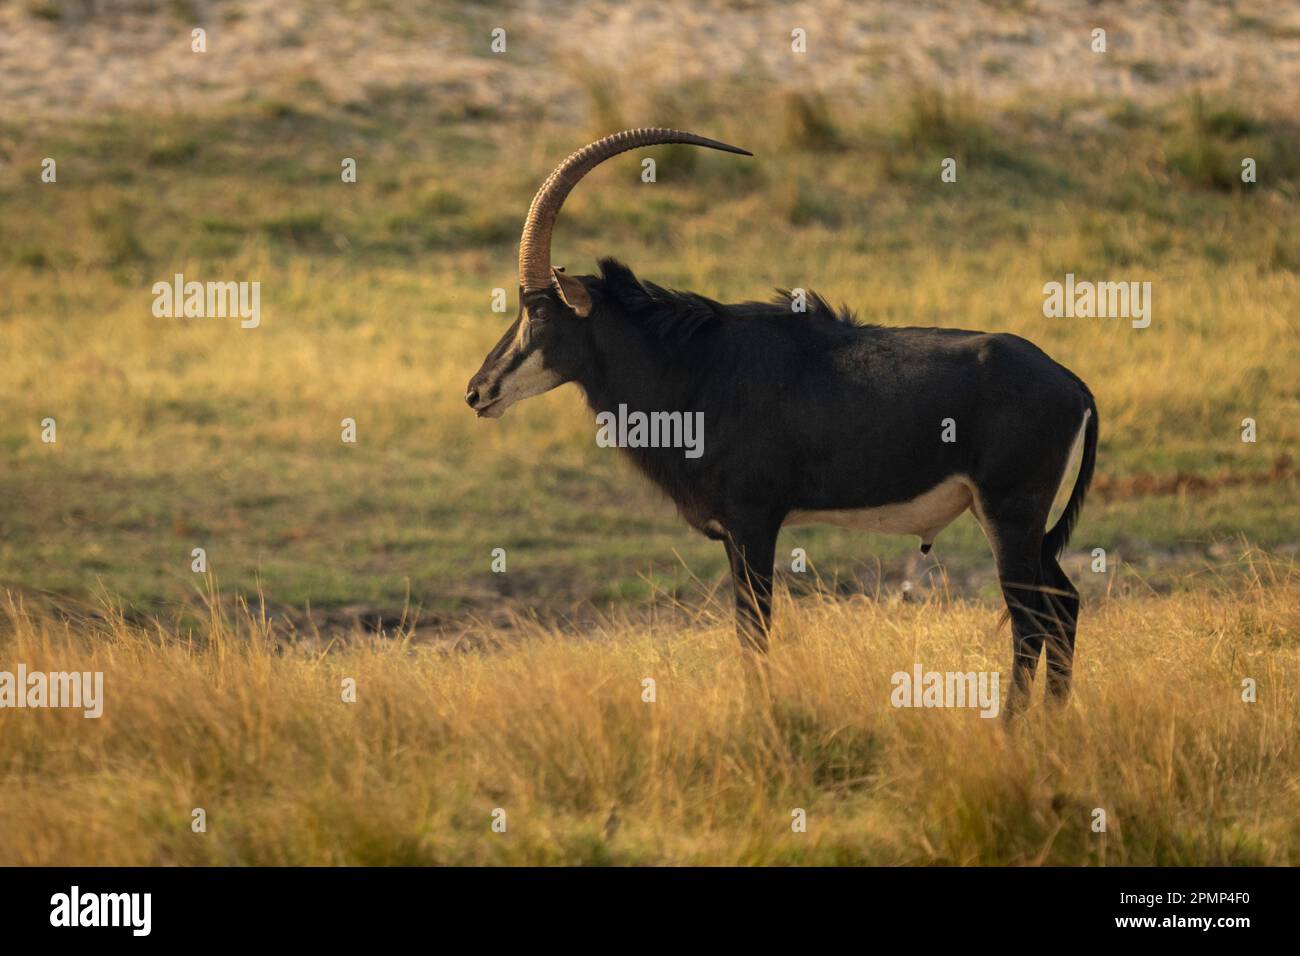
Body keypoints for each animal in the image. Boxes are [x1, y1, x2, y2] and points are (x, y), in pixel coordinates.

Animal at [467, 127, 1097, 712]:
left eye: (539, 312)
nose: (477, 392)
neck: (695, 365)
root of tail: (1072, 382)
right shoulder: (737, 531)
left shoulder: (753, 523)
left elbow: (753, 630)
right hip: (1020, 524)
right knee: (1062, 606)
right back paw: (1052, 720)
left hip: (1010, 514)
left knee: (1030, 617)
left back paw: (1012, 727)